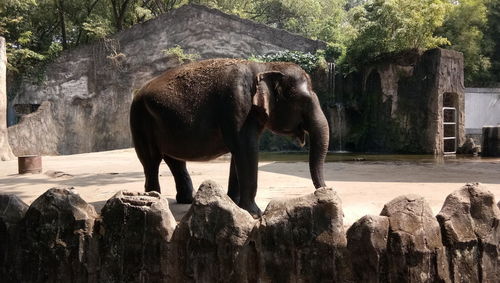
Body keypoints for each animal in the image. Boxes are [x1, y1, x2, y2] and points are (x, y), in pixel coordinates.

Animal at [131, 57, 330, 217]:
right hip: (140, 120)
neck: (264, 67)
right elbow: (246, 149)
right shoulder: (237, 105)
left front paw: (233, 204)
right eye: (303, 100)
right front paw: (254, 214)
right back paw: (154, 199)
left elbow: (239, 153)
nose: (325, 193)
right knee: (151, 161)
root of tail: (137, 92)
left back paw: (187, 199)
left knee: (174, 161)